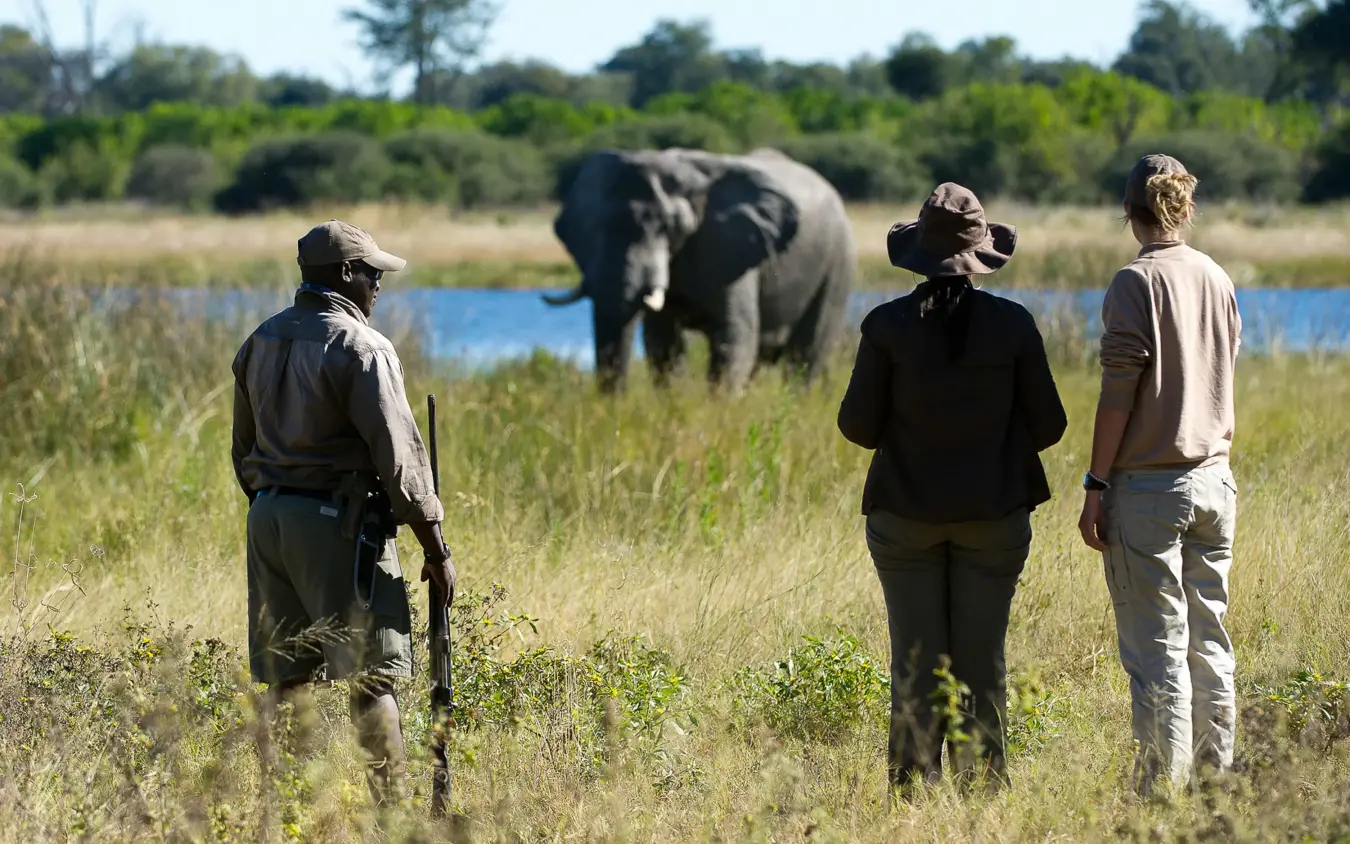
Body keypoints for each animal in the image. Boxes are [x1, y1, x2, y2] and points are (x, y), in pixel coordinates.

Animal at [541, 146, 858, 393]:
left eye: (669, 227)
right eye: (591, 230)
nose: (612, 407)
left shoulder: (727, 248)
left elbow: (734, 338)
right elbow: (663, 344)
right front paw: (673, 405)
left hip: (838, 262)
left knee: (806, 353)